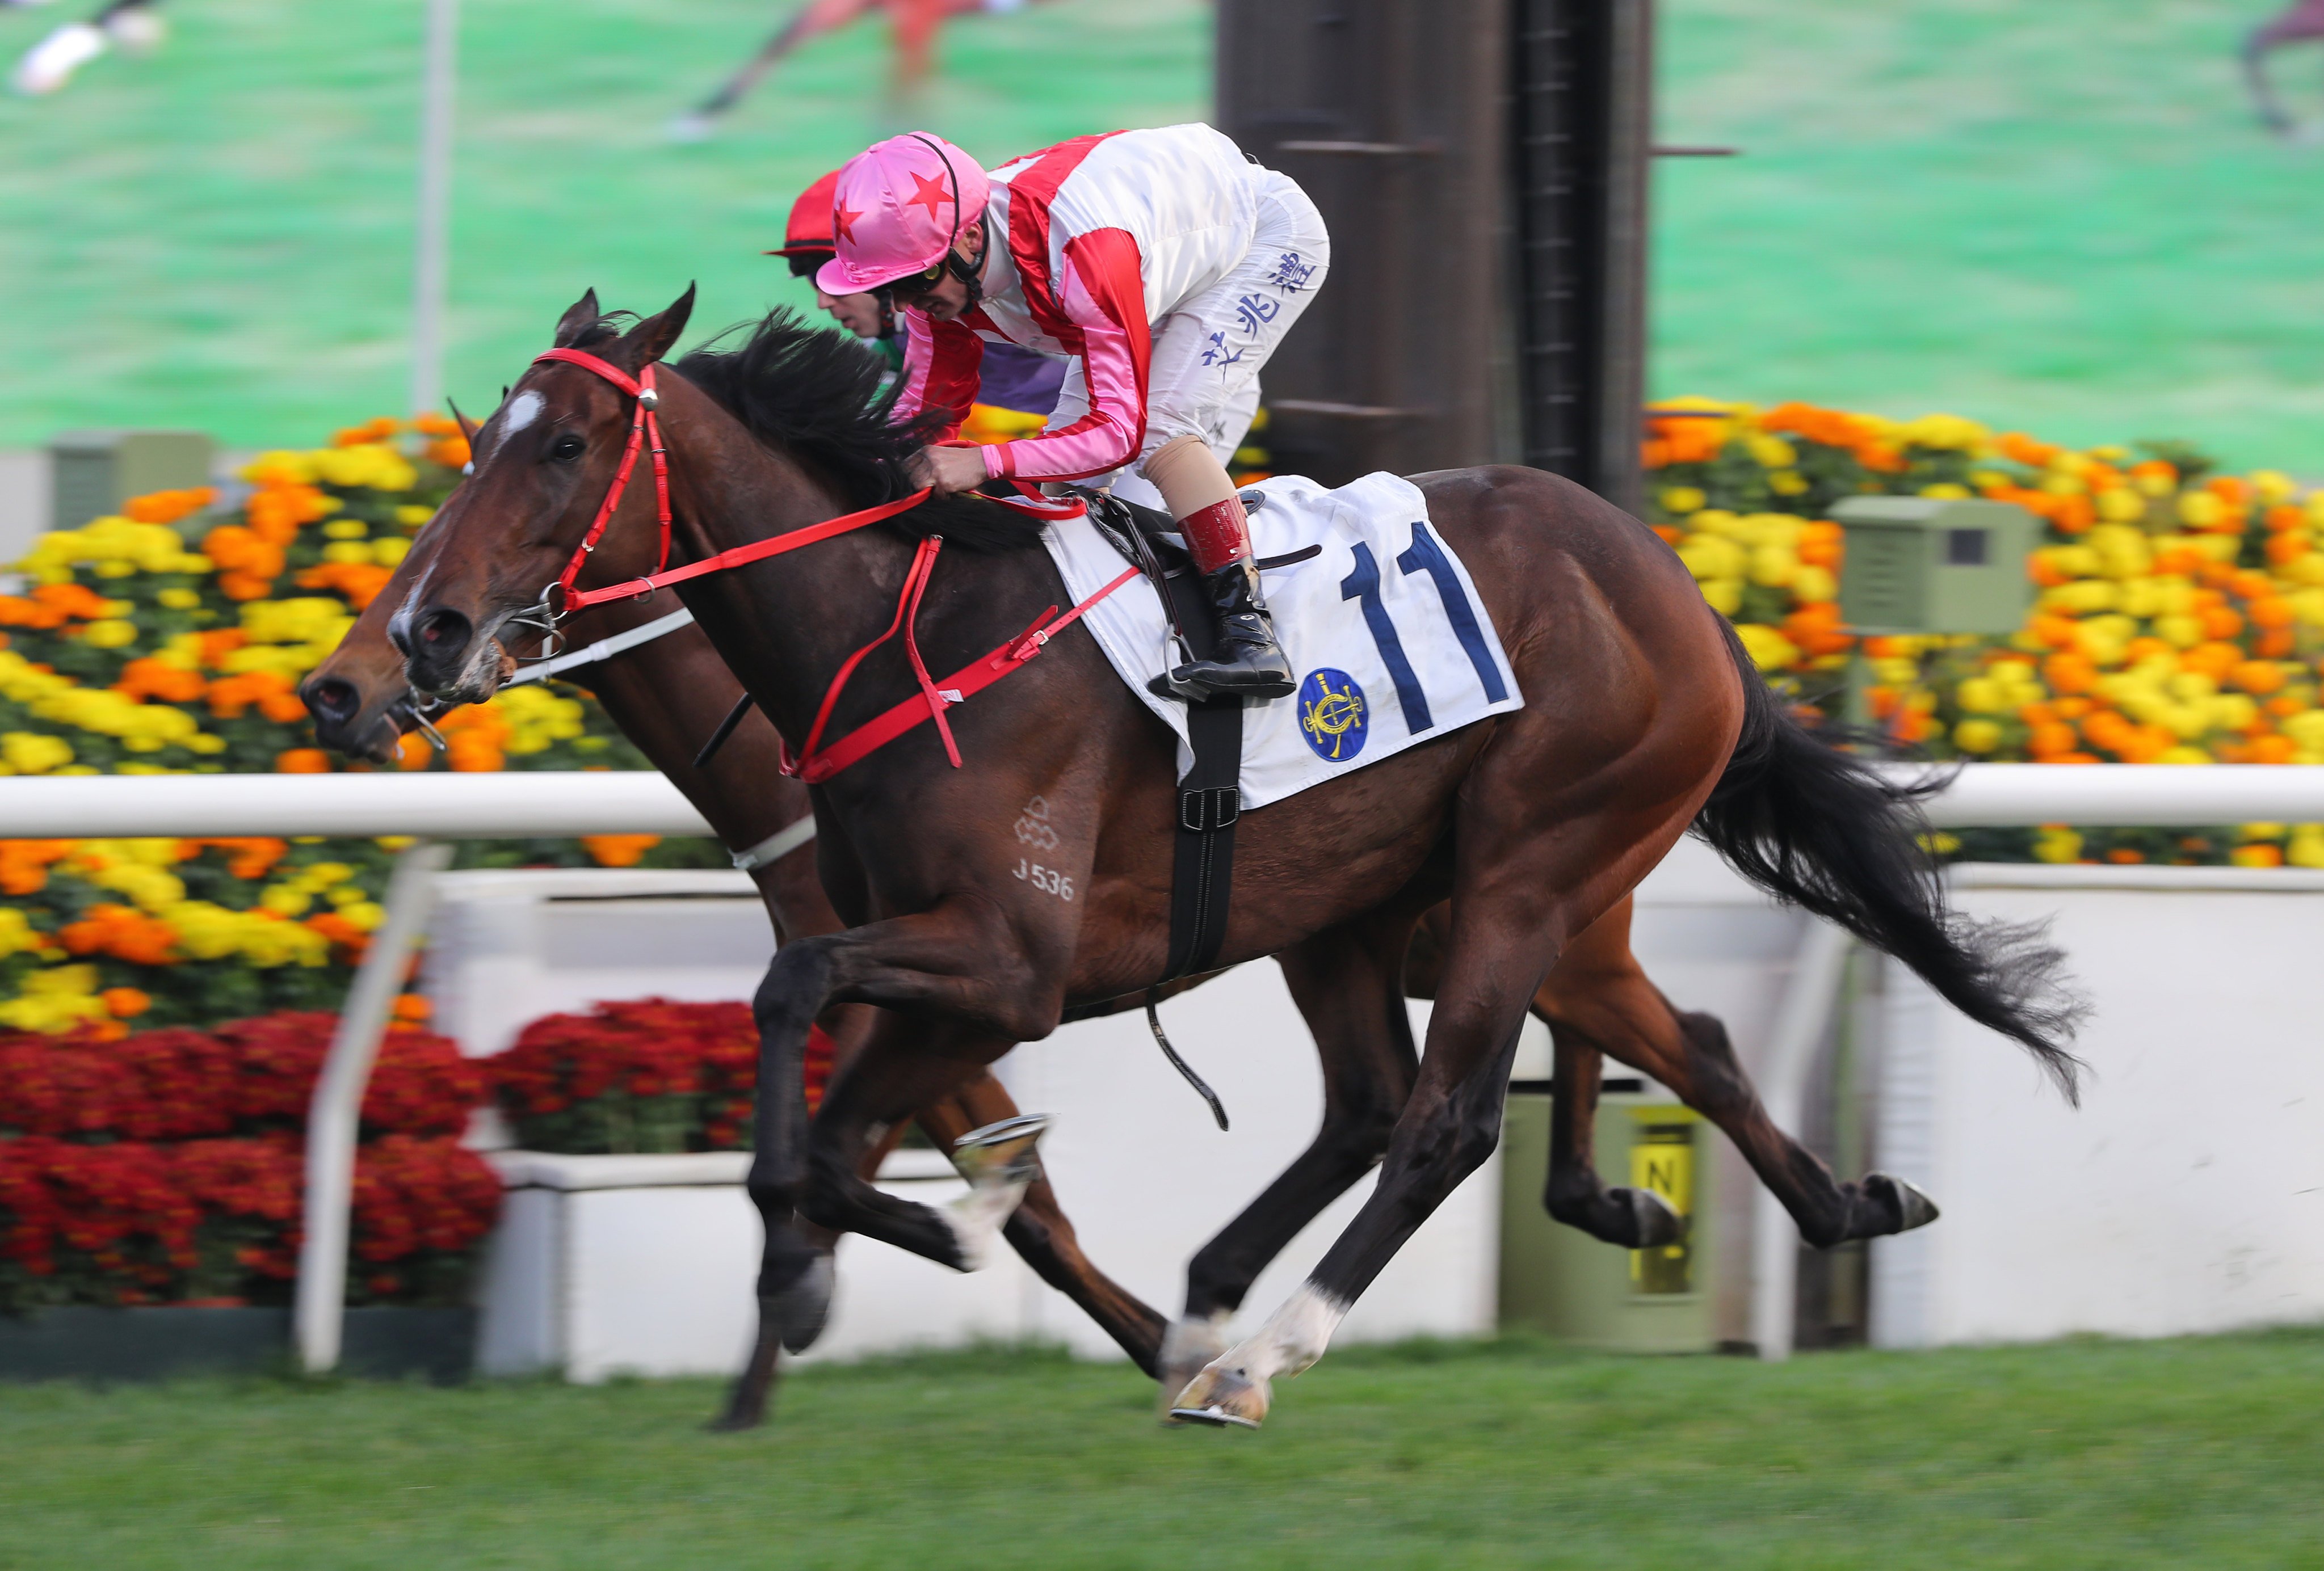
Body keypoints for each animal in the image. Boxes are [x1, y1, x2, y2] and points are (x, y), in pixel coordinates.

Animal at [390, 288, 2082, 1431]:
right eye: (480, 442)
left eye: (561, 445)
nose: (423, 629)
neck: (905, 632)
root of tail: (1673, 587)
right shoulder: (947, 971)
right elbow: (828, 1118)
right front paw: (844, 1266)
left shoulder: (1007, 960)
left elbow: (800, 1010)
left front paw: (911, 1245)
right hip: (1369, 906)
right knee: (1568, 1065)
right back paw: (1824, 1205)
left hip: (1529, 864)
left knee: (1443, 1122)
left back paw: (1256, 1356)